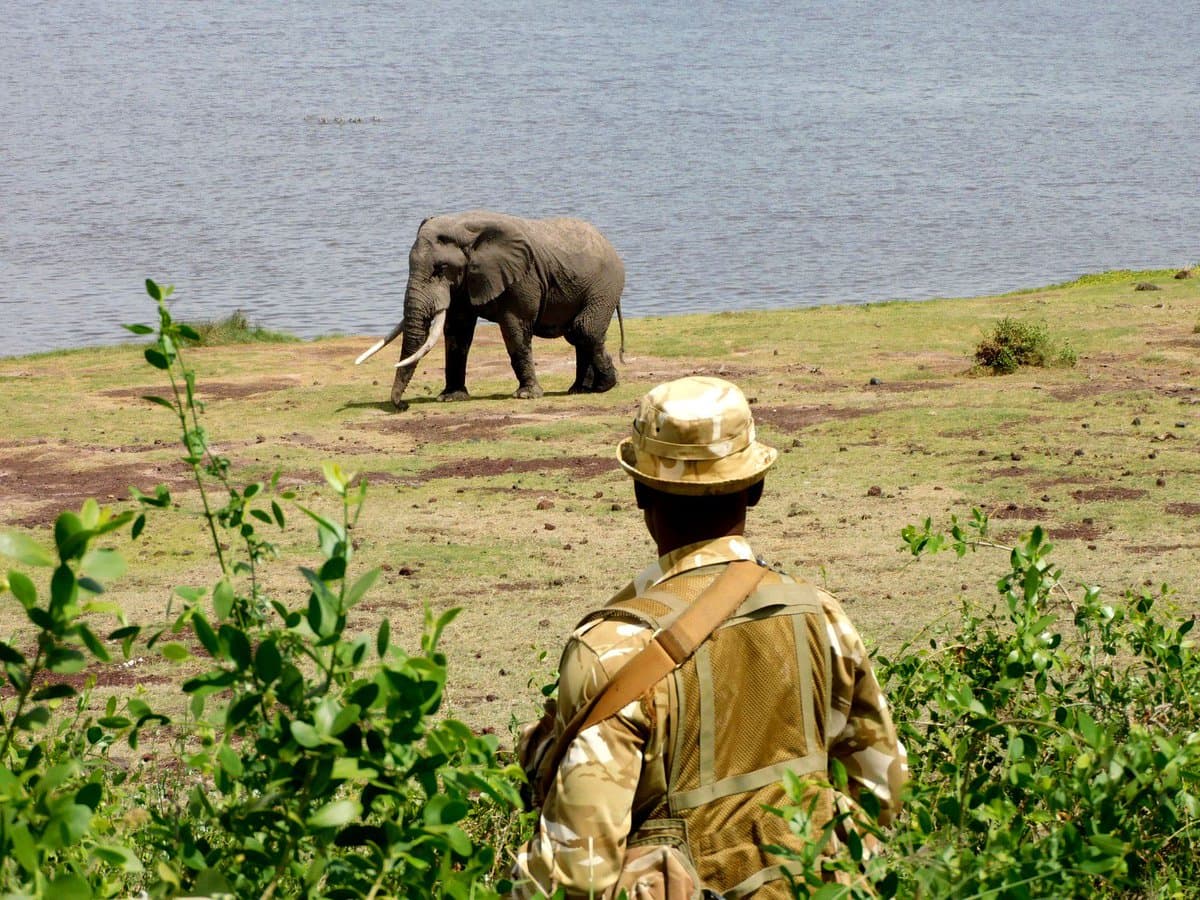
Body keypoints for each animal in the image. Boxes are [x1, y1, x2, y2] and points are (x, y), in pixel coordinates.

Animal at [356, 211, 626, 410]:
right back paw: (579, 390)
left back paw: (604, 385)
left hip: (604, 286)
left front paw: (526, 396)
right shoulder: (464, 282)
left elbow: (515, 330)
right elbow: (458, 332)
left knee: (584, 330)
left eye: (440, 269)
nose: (402, 406)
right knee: (578, 334)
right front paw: (451, 397)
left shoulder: (522, 278)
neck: (465, 230)